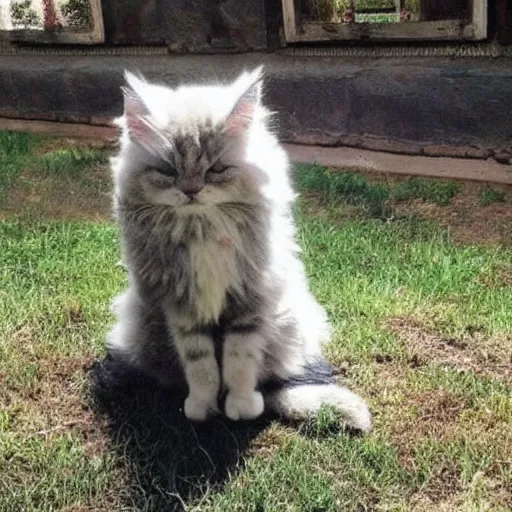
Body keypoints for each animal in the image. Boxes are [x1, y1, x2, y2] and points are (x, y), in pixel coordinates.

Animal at [107, 66, 372, 430]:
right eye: (168, 171)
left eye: (216, 170)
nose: (191, 191)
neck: (201, 229)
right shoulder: (182, 307)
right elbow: (201, 366)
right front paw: (202, 408)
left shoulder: (250, 300)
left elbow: (239, 363)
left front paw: (241, 406)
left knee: (273, 381)